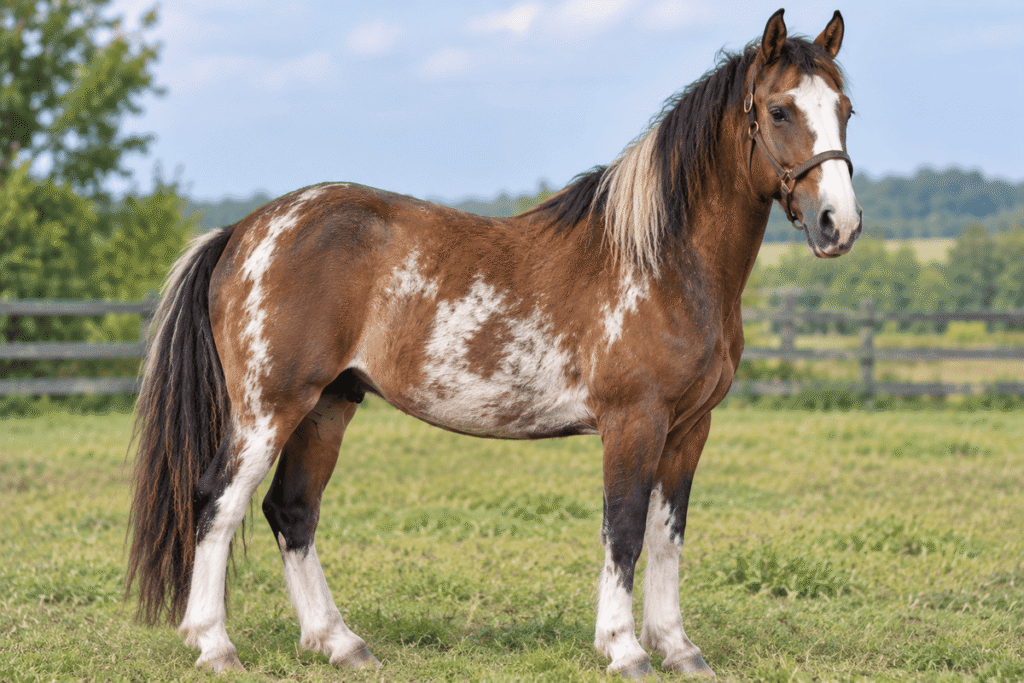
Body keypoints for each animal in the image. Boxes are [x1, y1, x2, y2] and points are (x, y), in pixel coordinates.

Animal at [126, 8, 860, 678]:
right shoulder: (634, 421)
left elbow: (666, 536)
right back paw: (215, 645)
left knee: (292, 510)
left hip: (328, 405)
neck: (660, 262)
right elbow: (622, 530)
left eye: (845, 109)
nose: (839, 223)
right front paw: (624, 649)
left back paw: (340, 642)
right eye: (779, 110)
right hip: (270, 407)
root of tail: (244, 229)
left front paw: (678, 648)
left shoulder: (688, 428)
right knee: (217, 502)